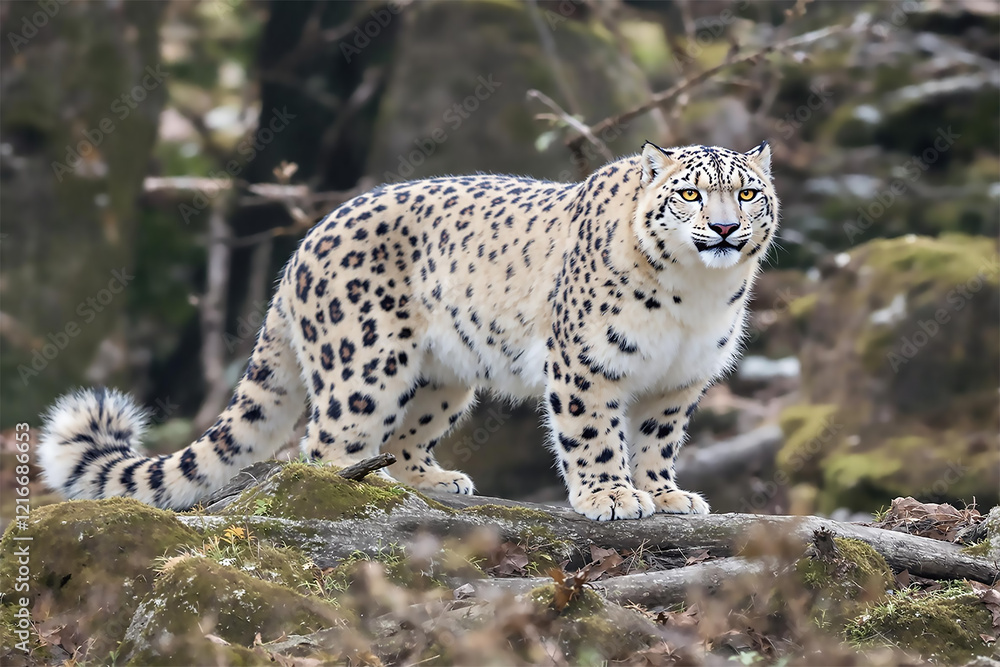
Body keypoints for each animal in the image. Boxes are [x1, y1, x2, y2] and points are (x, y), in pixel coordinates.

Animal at [37, 140, 778, 521]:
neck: (697, 296)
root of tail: (303, 245)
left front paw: (666, 494)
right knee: (322, 443)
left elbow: (656, 441)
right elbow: (593, 436)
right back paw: (344, 491)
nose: (723, 229)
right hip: (364, 367)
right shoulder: (586, 365)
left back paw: (427, 483)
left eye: (746, 193)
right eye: (689, 194)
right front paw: (611, 497)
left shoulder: (677, 381)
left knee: (402, 437)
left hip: (442, 378)